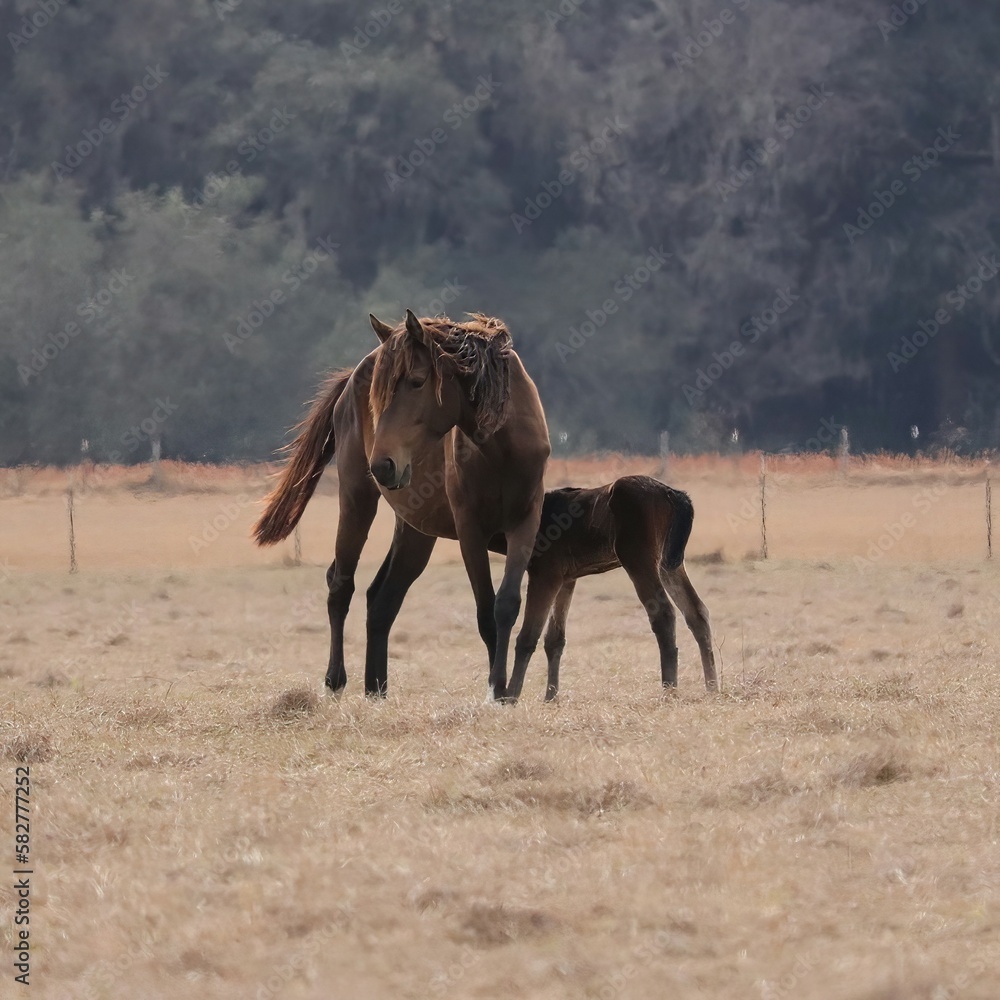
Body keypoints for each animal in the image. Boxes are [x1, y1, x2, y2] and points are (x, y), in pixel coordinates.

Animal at [253, 310, 549, 700]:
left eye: (417, 382)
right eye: (379, 394)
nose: (382, 465)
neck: (502, 449)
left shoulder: (525, 524)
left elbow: (506, 605)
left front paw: (503, 692)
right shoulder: (471, 532)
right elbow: (485, 612)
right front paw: (493, 690)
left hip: (415, 530)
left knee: (382, 599)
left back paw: (376, 689)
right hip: (357, 501)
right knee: (341, 584)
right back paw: (335, 681)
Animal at [502, 476, 718, 702]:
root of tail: (672, 494)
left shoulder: (544, 575)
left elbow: (527, 636)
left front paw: (510, 696)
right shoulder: (567, 579)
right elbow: (554, 639)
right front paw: (550, 698)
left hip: (639, 559)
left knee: (664, 614)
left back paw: (669, 691)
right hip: (669, 565)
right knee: (696, 612)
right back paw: (712, 688)